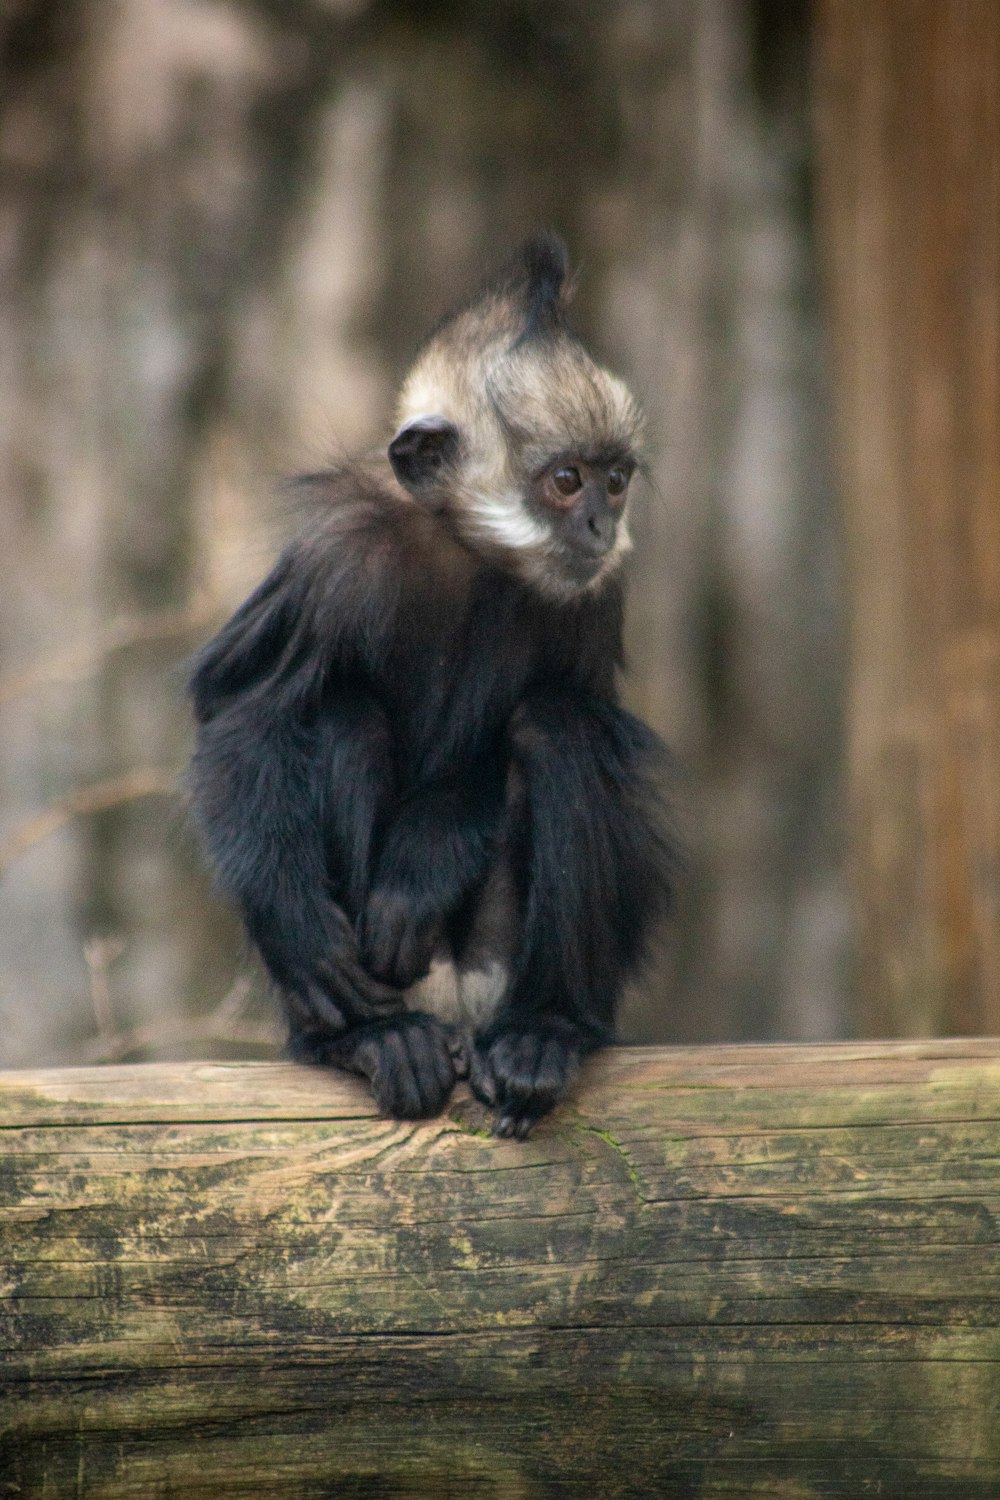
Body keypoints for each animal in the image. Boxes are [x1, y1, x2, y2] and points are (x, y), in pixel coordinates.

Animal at [187, 237, 677, 1134]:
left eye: (615, 479)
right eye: (566, 480)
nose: (602, 525)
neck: (472, 553)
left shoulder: (596, 596)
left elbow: (533, 740)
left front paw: (424, 866)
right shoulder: (334, 558)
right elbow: (240, 710)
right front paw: (298, 930)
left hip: (498, 962)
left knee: (558, 724)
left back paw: (542, 1034)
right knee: (341, 713)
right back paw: (371, 1038)